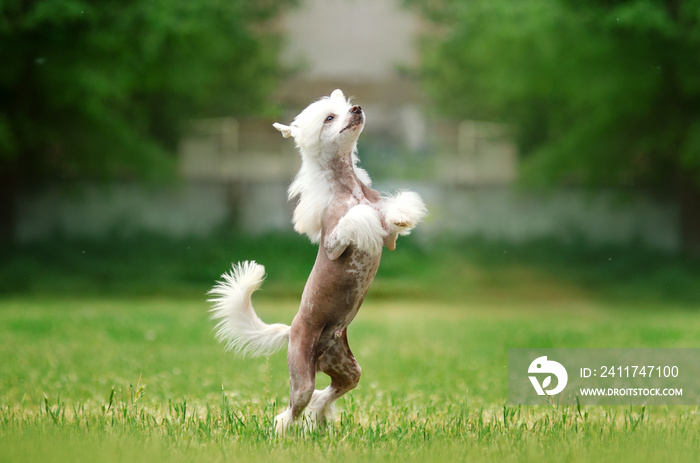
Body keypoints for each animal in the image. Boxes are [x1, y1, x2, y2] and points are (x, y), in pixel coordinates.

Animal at [208, 89, 426, 436]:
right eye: (329, 118)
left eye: (344, 108)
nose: (357, 109)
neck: (348, 186)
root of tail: (291, 330)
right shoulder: (333, 243)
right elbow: (354, 220)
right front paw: (364, 217)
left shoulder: (388, 240)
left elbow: (390, 220)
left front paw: (400, 214)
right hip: (302, 372)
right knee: (295, 404)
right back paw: (284, 430)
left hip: (346, 367)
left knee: (330, 391)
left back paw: (318, 416)